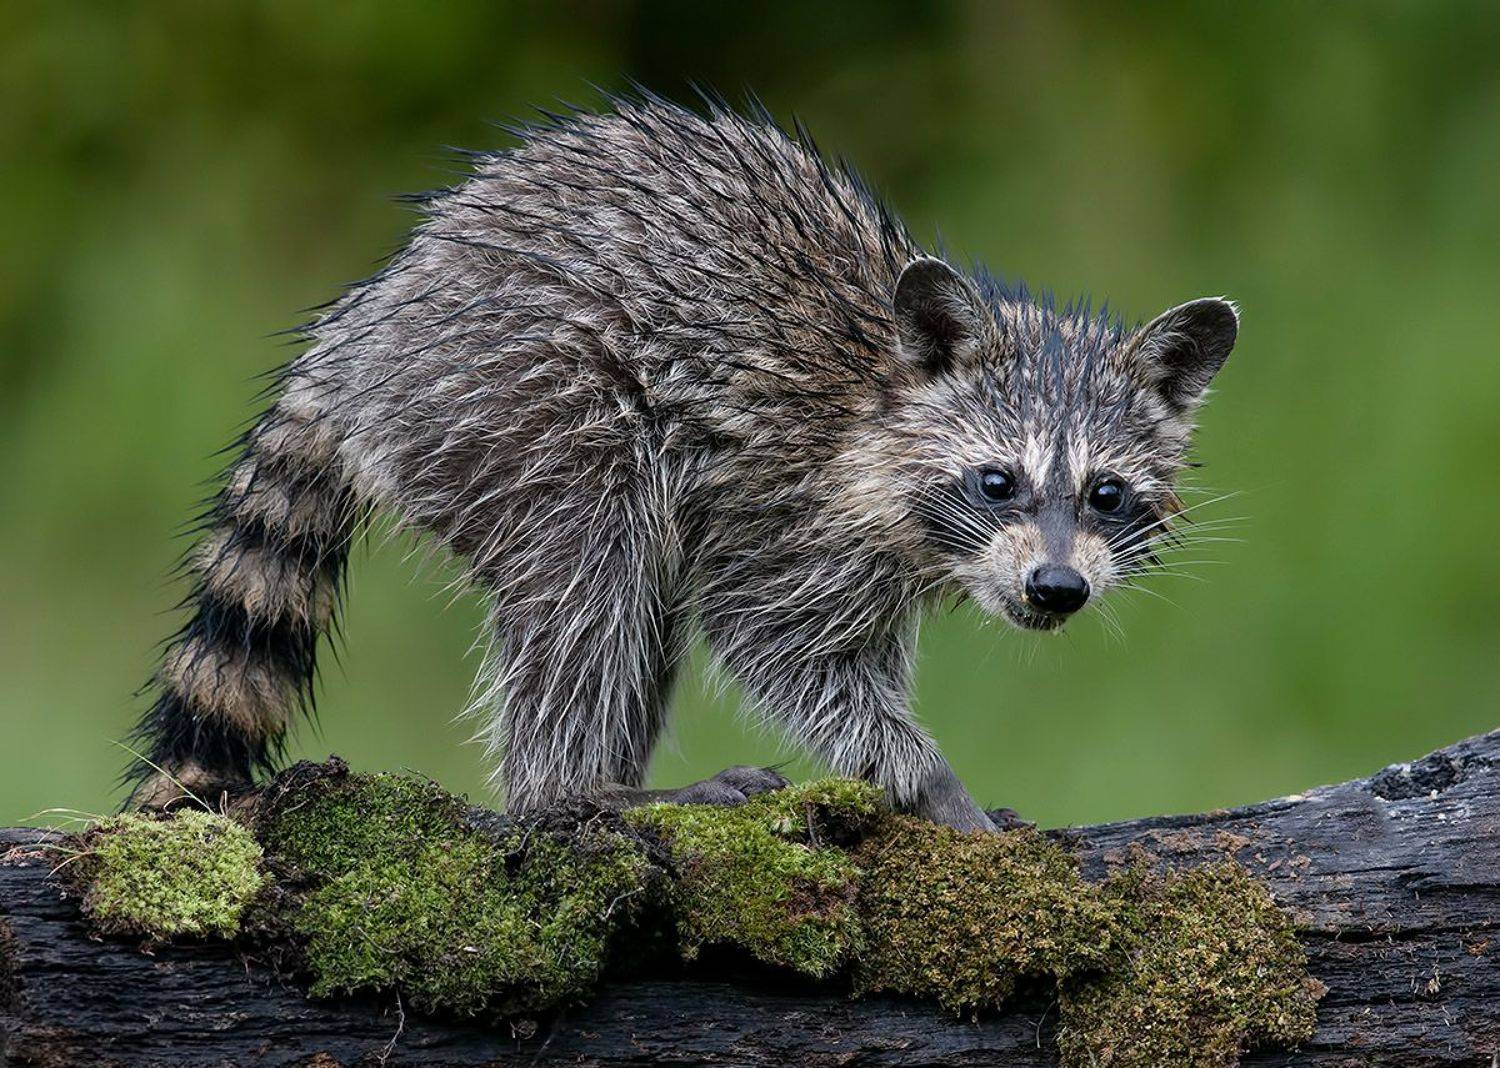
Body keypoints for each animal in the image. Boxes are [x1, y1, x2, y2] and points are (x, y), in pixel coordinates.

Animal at [128, 96, 1237, 831]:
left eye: (1106, 495)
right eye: (999, 482)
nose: (1055, 589)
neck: (879, 401)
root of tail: (362, 330)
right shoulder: (788, 502)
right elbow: (774, 644)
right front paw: (924, 778)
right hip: (517, 399)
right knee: (589, 571)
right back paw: (576, 791)